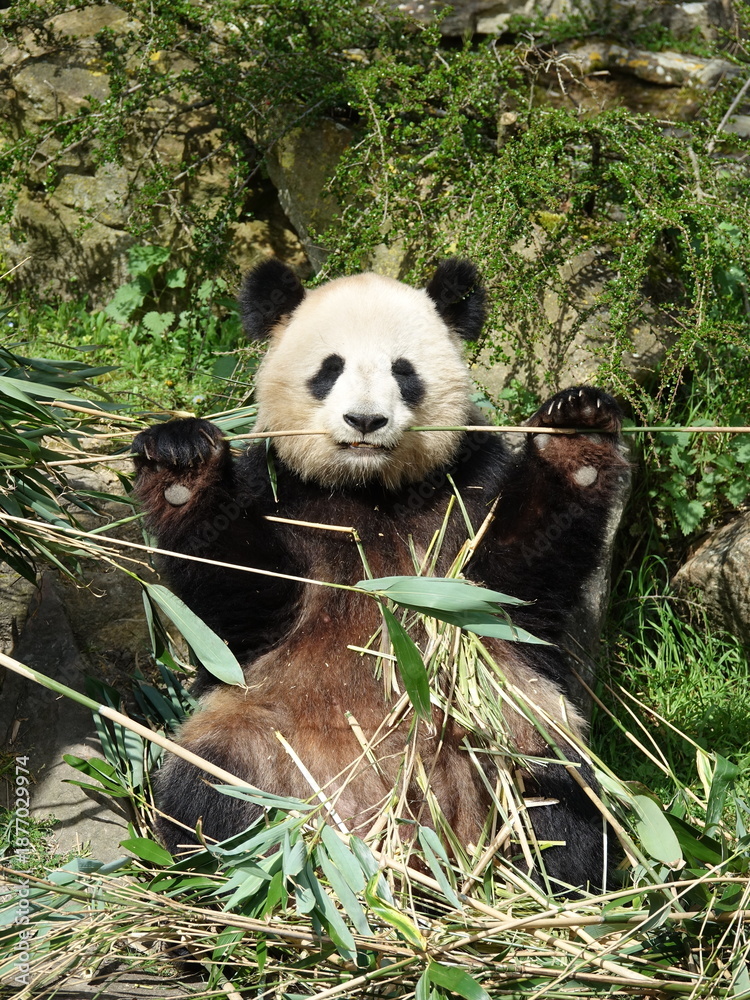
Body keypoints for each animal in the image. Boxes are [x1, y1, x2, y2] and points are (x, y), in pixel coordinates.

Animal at [132, 257, 630, 892]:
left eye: (403, 370)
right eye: (330, 369)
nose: (365, 421)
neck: (368, 489)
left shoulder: (464, 491)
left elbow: (516, 582)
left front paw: (578, 430)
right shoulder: (282, 494)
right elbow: (235, 604)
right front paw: (181, 461)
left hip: (511, 736)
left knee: (560, 804)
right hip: (261, 745)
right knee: (210, 798)